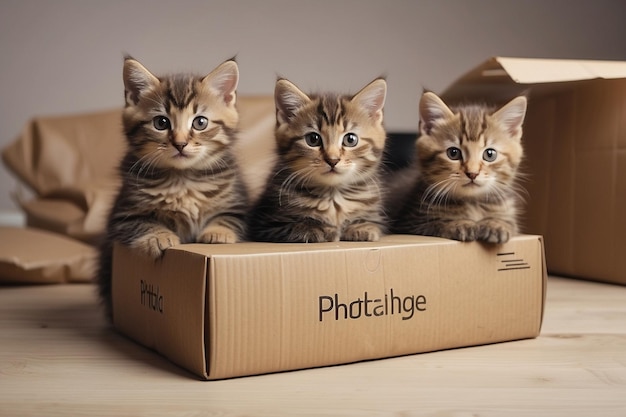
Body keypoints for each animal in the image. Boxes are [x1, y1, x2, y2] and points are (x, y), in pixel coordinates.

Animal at [97, 57, 246, 316]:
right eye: (161, 122)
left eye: (200, 122)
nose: (180, 143)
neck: (182, 179)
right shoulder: (122, 214)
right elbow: (141, 222)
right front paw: (158, 237)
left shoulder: (238, 205)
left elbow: (229, 217)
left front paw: (218, 233)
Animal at [247, 77, 386, 244]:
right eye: (313, 139)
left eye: (350, 139)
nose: (333, 160)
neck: (333, 195)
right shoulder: (265, 224)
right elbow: (295, 226)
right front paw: (319, 230)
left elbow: (371, 223)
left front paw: (362, 227)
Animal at [392, 90, 524, 240]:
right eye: (453, 153)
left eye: (490, 154)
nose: (472, 173)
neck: (472, 203)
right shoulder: (408, 221)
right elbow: (435, 223)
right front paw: (459, 223)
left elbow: (509, 222)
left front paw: (496, 224)